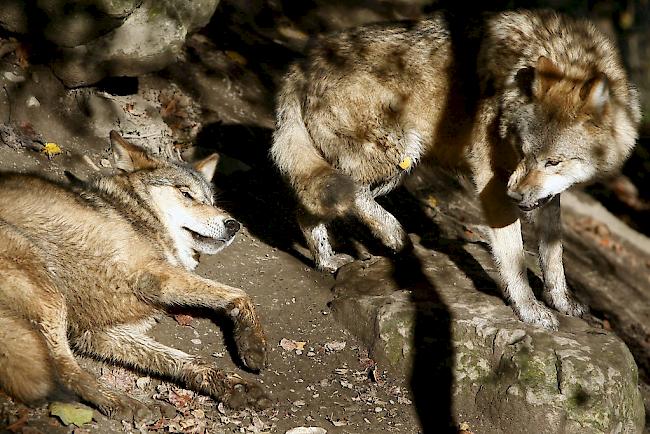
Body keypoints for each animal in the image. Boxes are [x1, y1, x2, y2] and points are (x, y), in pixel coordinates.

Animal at [0, 131, 268, 420]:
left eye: (211, 202)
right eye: (186, 194)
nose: (234, 225)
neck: (135, 214)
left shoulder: (98, 332)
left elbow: (180, 358)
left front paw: (233, 385)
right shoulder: (154, 275)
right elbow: (240, 293)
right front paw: (253, 346)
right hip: (48, 291)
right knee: (62, 367)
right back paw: (124, 402)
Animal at [270, 10, 640, 328]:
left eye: (553, 162)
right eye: (523, 151)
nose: (514, 195)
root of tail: (303, 61)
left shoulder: (546, 197)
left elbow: (553, 256)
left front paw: (562, 302)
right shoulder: (492, 181)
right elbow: (515, 258)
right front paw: (529, 309)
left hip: (396, 166)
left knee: (315, 203)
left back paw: (328, 261)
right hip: (401, 153)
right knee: (346, 195)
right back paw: (392, 235)